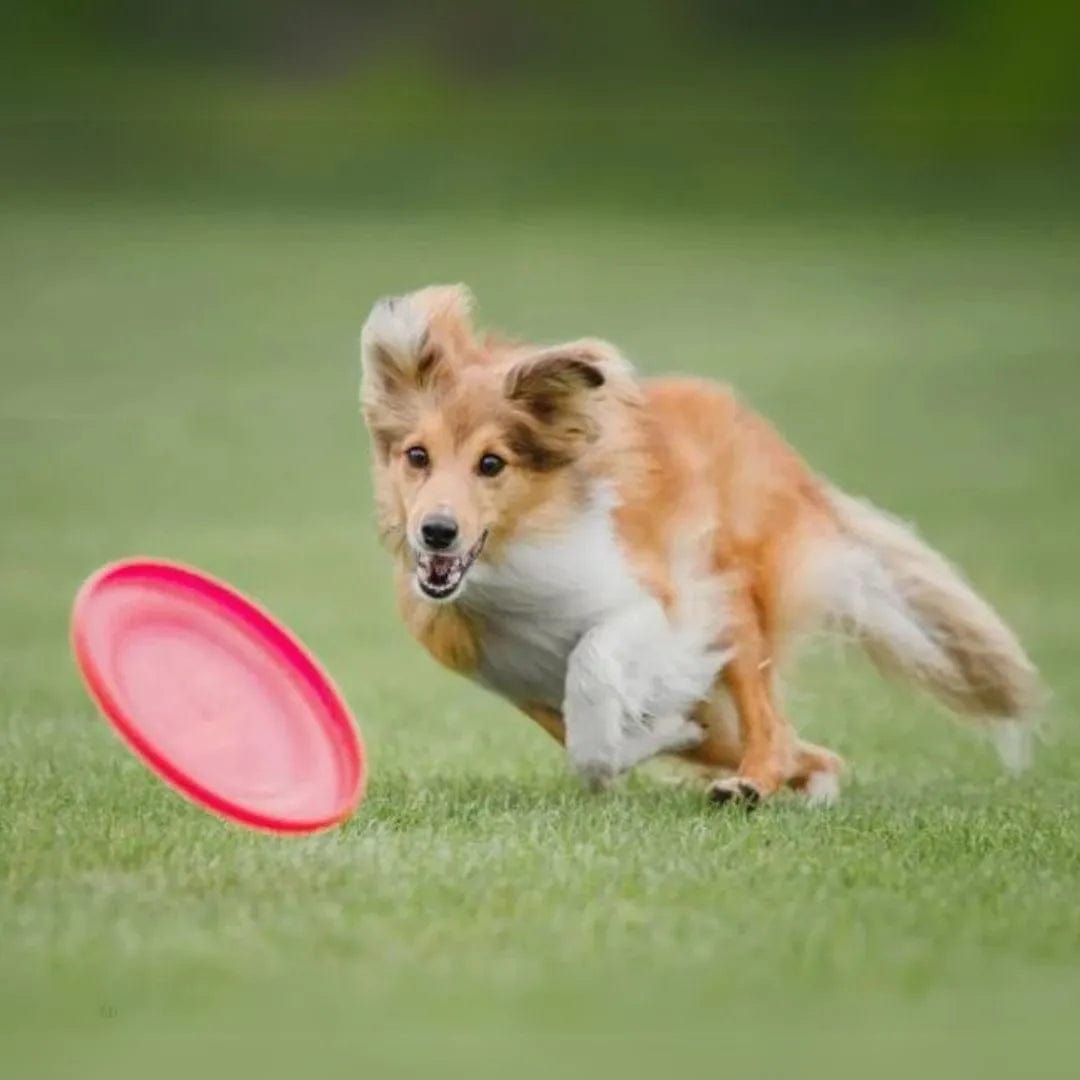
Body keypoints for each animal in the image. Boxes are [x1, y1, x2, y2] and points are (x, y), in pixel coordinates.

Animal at [358, 282, 1041, 807]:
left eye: (492, 464)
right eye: (417, 456)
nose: (436, 531)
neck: (509, 561)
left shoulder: (663, 602)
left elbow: (595, 678)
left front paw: (640, 735)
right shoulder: (521, 682)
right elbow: (595, 750)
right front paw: (658, 735)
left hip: (733, 597)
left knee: (772, 728)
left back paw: (751, 785)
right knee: (811, 750)